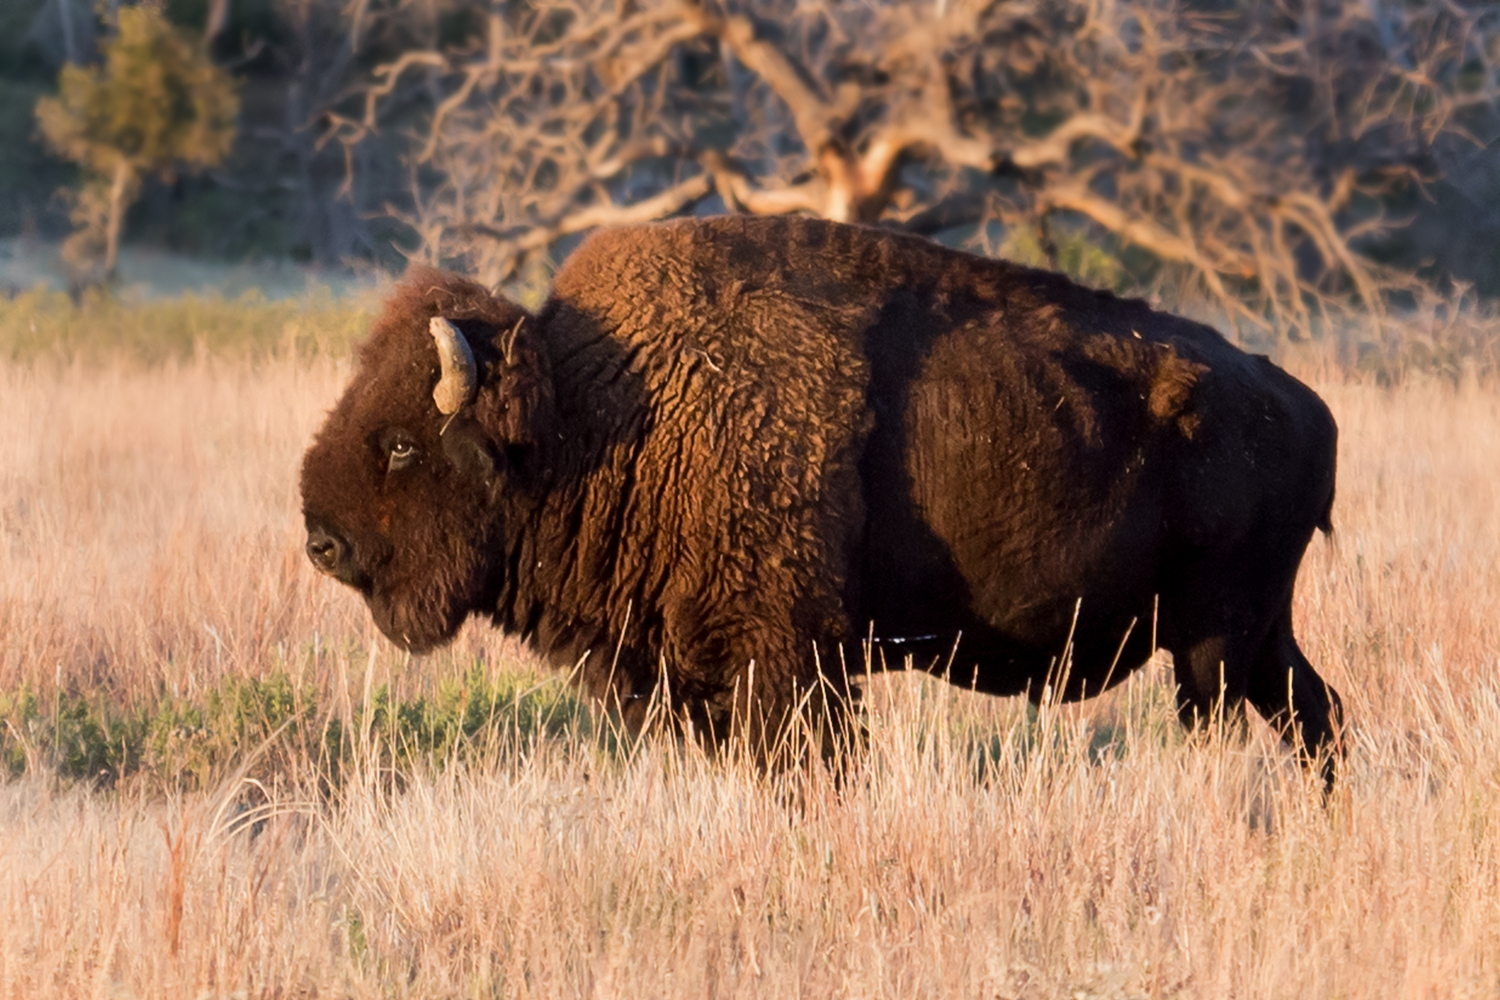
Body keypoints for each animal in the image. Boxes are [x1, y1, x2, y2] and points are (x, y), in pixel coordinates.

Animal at [298, 218, 1344, 779]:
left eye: (401, 444)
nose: (321, 541)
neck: (595, 413)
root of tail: (1302, 403)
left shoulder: (789, 664)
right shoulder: (682, 677)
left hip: (1213, 642)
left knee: (1241, 721)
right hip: (1257, 636)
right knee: (1315, 711)